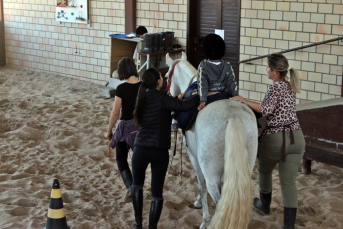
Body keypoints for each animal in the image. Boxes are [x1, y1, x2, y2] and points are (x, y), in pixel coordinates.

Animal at [165, 52, 258, 229]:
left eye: (166, 76)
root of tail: (233, 117)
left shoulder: (194, 158)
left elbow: (201, 186)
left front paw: (204, 217)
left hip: (211, 173)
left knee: (219, 199)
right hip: (245, 168)